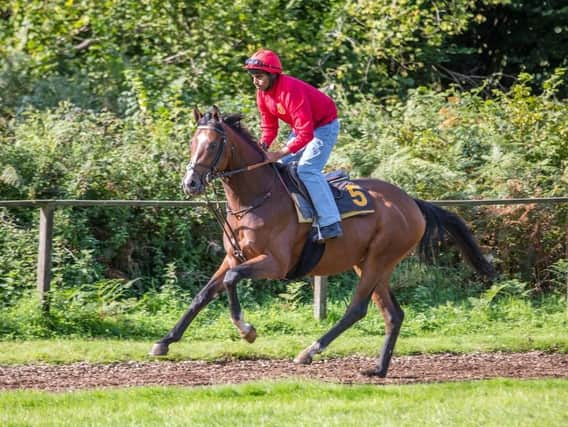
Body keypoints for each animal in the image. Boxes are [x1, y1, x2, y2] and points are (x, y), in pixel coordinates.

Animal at [149, 106, 494, 378]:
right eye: (192, 142)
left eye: (212, 144)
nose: (190, 183)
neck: (256, 198)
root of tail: (412, 202)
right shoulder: (234, 257)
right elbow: (203, 294)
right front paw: (165, 341)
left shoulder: (275, 263)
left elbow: (232, 281)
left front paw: (247, 331)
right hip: (369, 264)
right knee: (393, 314)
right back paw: (378, 369)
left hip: (379, 259)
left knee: (357, 309)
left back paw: (310, 351)